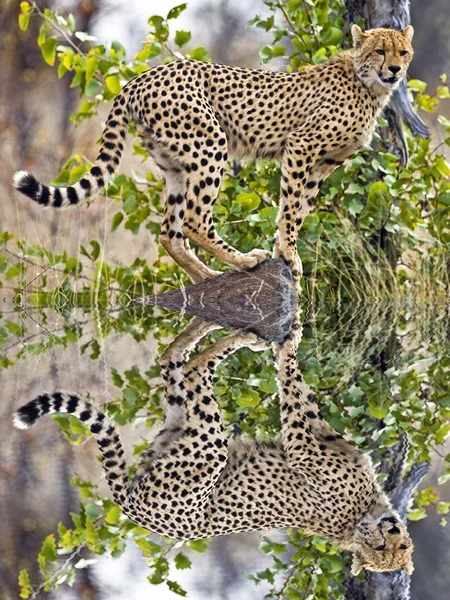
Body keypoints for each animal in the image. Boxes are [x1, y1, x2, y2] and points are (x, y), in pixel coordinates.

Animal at [13, 24, 414, 282]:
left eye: (403, 52)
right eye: (380, 51)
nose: (395, 69)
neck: (368, 84)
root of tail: (141, 77)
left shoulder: (323, 164)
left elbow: (298, 209)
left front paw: (286, 252)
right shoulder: (301, 146)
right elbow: (291, 208)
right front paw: (287, 254)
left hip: (175, 164)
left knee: (169, 232)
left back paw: (208, 275)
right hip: (211, 145)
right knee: (193, 220)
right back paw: (244, 261)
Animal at [13, 316, 414, 576]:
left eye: (396, 549)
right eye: (384, 548)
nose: (394, 533)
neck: (363, 516)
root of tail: (130, 506)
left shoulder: (304, 444)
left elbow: (293, 389)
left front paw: (286, 344)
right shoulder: (311, 439)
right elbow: (296, 386)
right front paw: (290, 341)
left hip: (202, 441)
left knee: (184, 367)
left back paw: (236, 336)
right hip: (194, 435)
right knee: (180, 363)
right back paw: (237, 333)